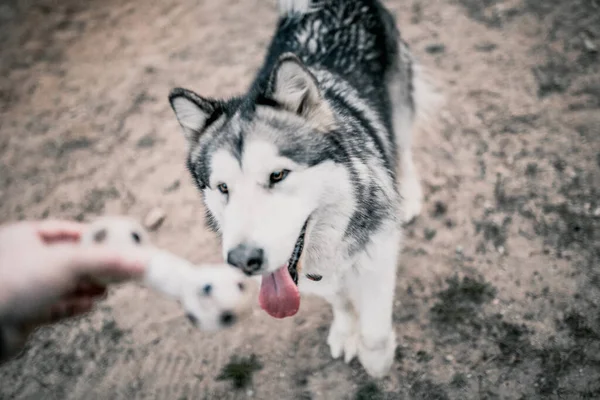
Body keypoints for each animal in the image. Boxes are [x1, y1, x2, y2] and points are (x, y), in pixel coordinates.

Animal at [166, 0, 434, 378]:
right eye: (223, 187)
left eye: (277, 175)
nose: (243, 261)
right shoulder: (315, 278)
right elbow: (341, 303)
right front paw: (345, 332)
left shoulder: (379, 256)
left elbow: (375, 330)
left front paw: (377, 361)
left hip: (399, 105)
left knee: (404, 146)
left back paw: (408, 194)